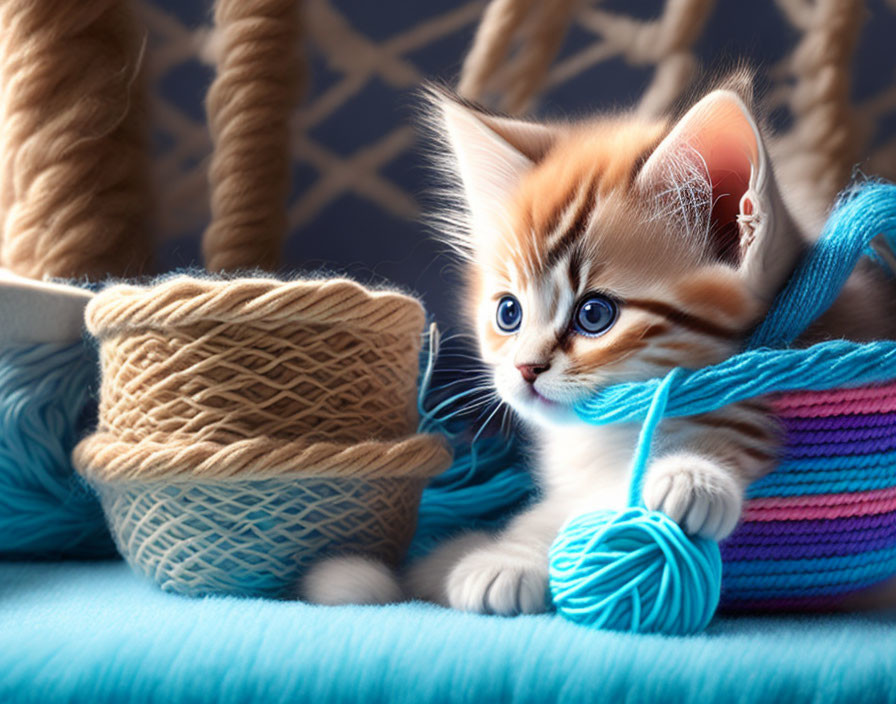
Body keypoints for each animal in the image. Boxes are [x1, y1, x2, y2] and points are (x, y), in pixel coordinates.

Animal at [402, 80, 896, 612]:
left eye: (594, 315)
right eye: (508, 313)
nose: (525, 368)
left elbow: (738, 425)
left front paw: (692, 475)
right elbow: (552, 511)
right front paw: (488, 554)